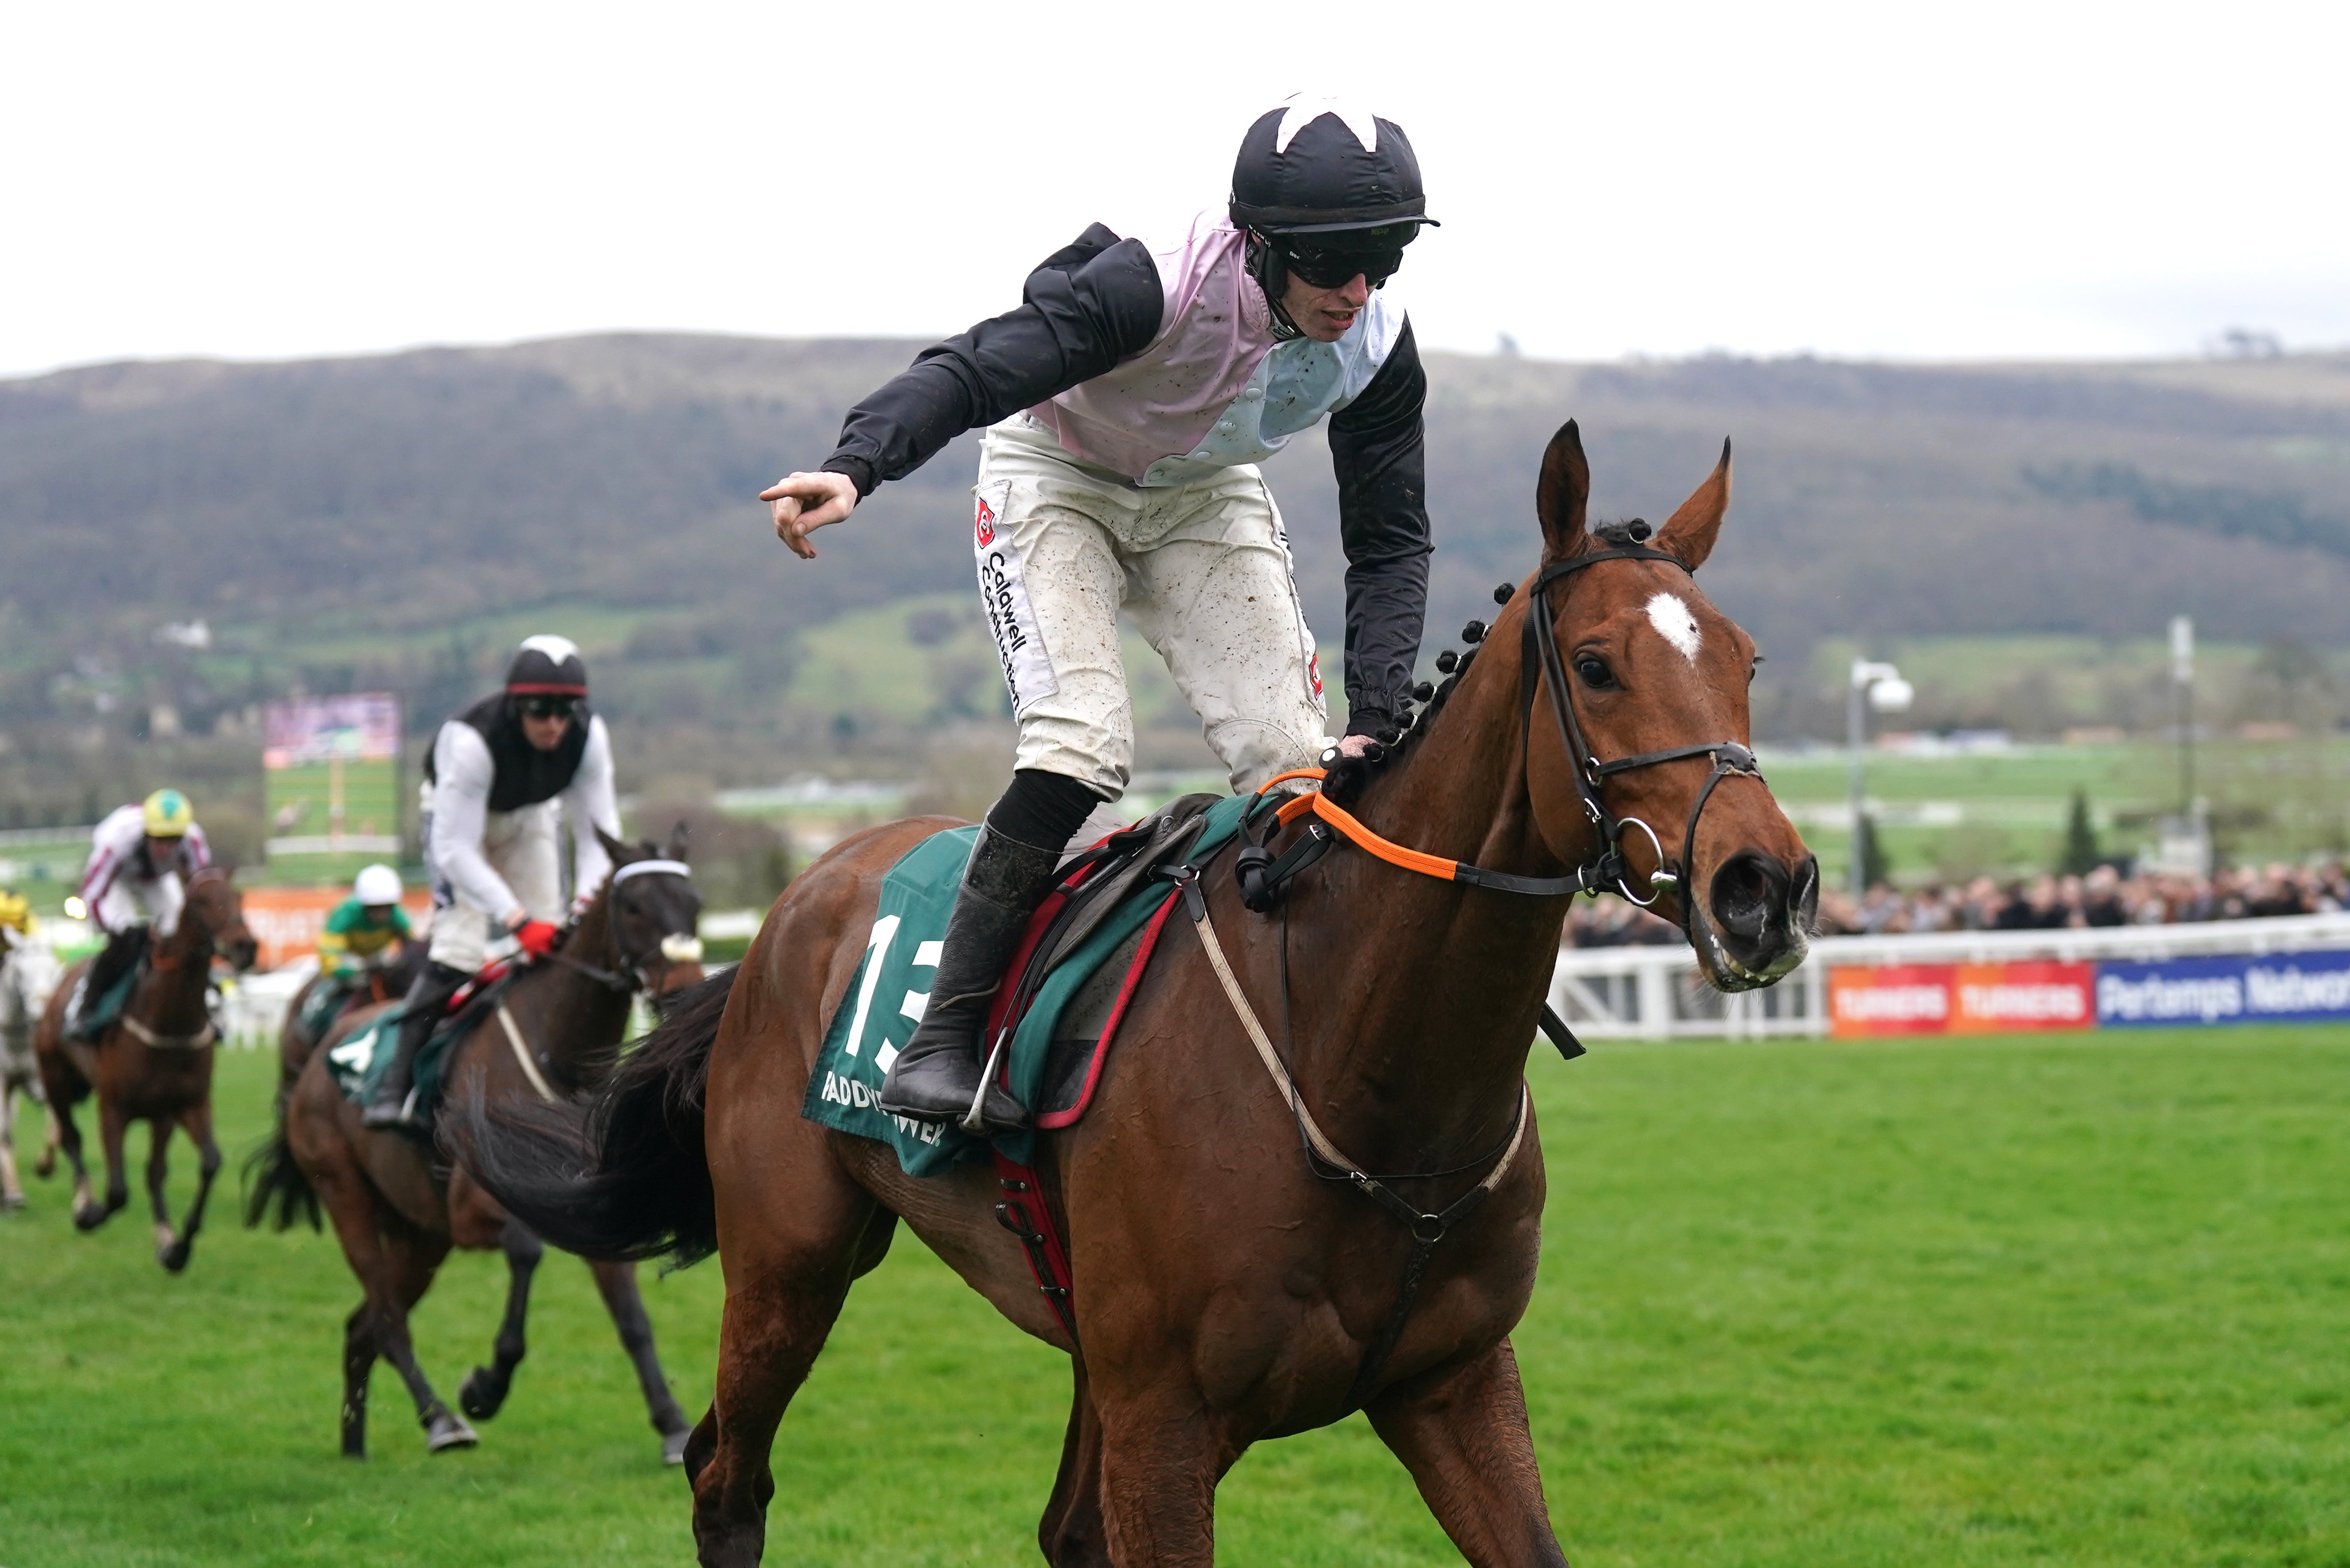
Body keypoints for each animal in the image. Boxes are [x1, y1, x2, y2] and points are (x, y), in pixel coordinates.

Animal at [33, 869, 257, 1279]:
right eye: (199, 902)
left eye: (238, 897)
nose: (244, 946)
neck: (170, 1020)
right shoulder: (113, 1109)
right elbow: (118, 1192)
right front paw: (92, 1215)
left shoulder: (183, 1105)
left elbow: (207, 1163)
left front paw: (176, 1247)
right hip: (55, 1079)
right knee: (71, 1137)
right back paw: (83, 1202)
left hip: (158, 1117)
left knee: (154, 1170)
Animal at [245, 832, 714, 1457]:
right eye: (635, 907)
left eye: (693, 903)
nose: (684, 994)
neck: (555, 1053)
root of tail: (320, 1057)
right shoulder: (472, 1213)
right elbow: (525, 1251)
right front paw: (485, 1387)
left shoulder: (598, 1207)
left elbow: (633, 1322)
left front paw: (671, 1422)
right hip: (347, 1197)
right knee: (388, 1321)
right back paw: (441, 1420)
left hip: (421, 1233)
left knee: (362, 1325)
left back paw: (354, 1442)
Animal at [458, 420, 1814, 1568]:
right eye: (1594, 665)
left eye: (1746, 659)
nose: (1768, 885)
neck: (1362, 1064)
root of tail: (794, 904)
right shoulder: (1169, 1415)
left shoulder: (1452, 1381)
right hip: (789, 1261)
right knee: (726, 1480)